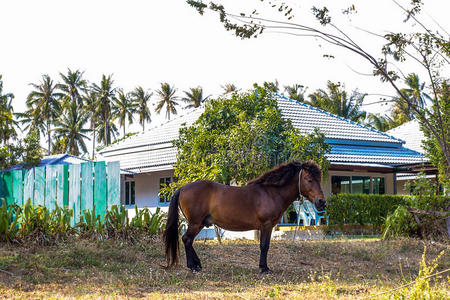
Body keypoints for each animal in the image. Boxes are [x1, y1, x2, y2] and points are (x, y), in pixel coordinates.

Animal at [163, 161, 326, 274]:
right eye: (309, 179)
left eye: (319, 179)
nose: (321, 201)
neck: (271, 192)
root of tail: (182, 188)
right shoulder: (266, 225)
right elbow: (264, 246)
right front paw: (264, 268)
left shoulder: (268, 227)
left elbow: (265, 245)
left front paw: (264, 267)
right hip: (195, 223)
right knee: (186, 239)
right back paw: (193, 266)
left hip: (200, 224)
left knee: (189, 241)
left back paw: (197, 264)